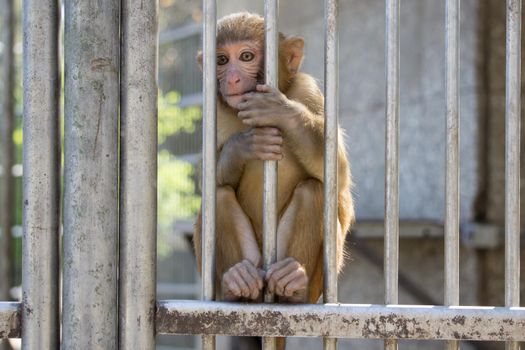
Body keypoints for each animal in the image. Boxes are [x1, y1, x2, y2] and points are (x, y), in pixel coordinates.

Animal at [192, 13, 352, 312]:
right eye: (221, 60)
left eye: (246, 56)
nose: (232, 79)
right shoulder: (214, 113)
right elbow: (204, 183)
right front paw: (242, 146)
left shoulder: (307, 91)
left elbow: (338, 172)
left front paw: (280, 111)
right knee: (218, 196)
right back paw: (237, 284)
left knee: (314, 190)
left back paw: (294, 287)